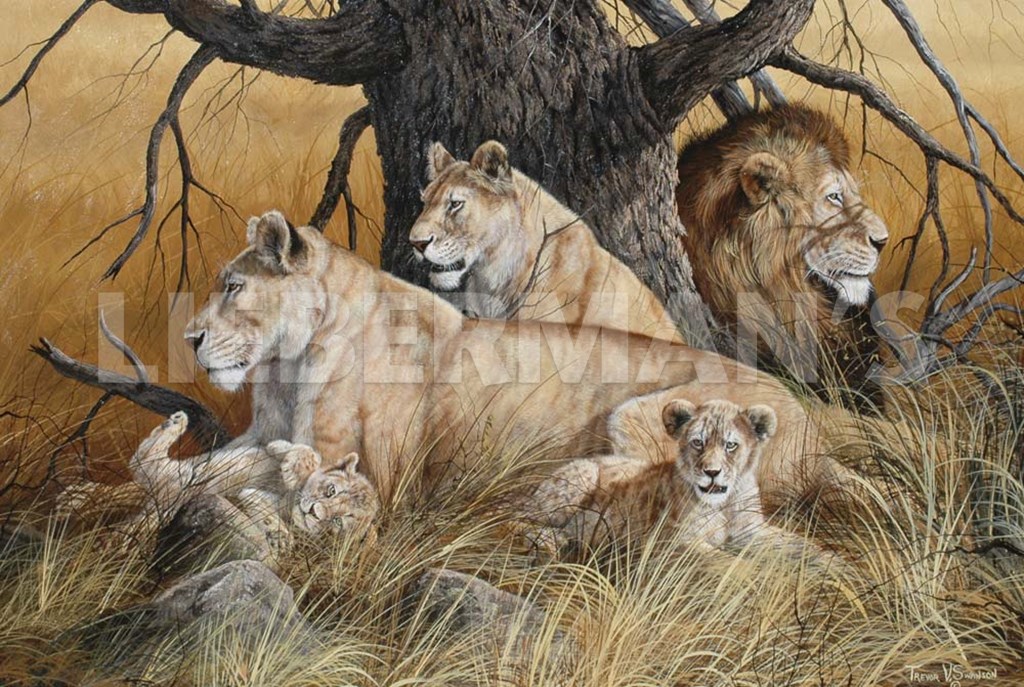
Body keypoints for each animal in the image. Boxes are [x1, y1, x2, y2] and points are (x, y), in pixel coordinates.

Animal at [520, 399, 822, 559]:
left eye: (730, 445)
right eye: (698, 442)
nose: (712, 472)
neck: (725, 504)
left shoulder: (751, 533)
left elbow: (799, 545)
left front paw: (830, 566)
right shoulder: (676, 541)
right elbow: (727, 563)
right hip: (582, 476)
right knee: (516, 517)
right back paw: (551, 541)